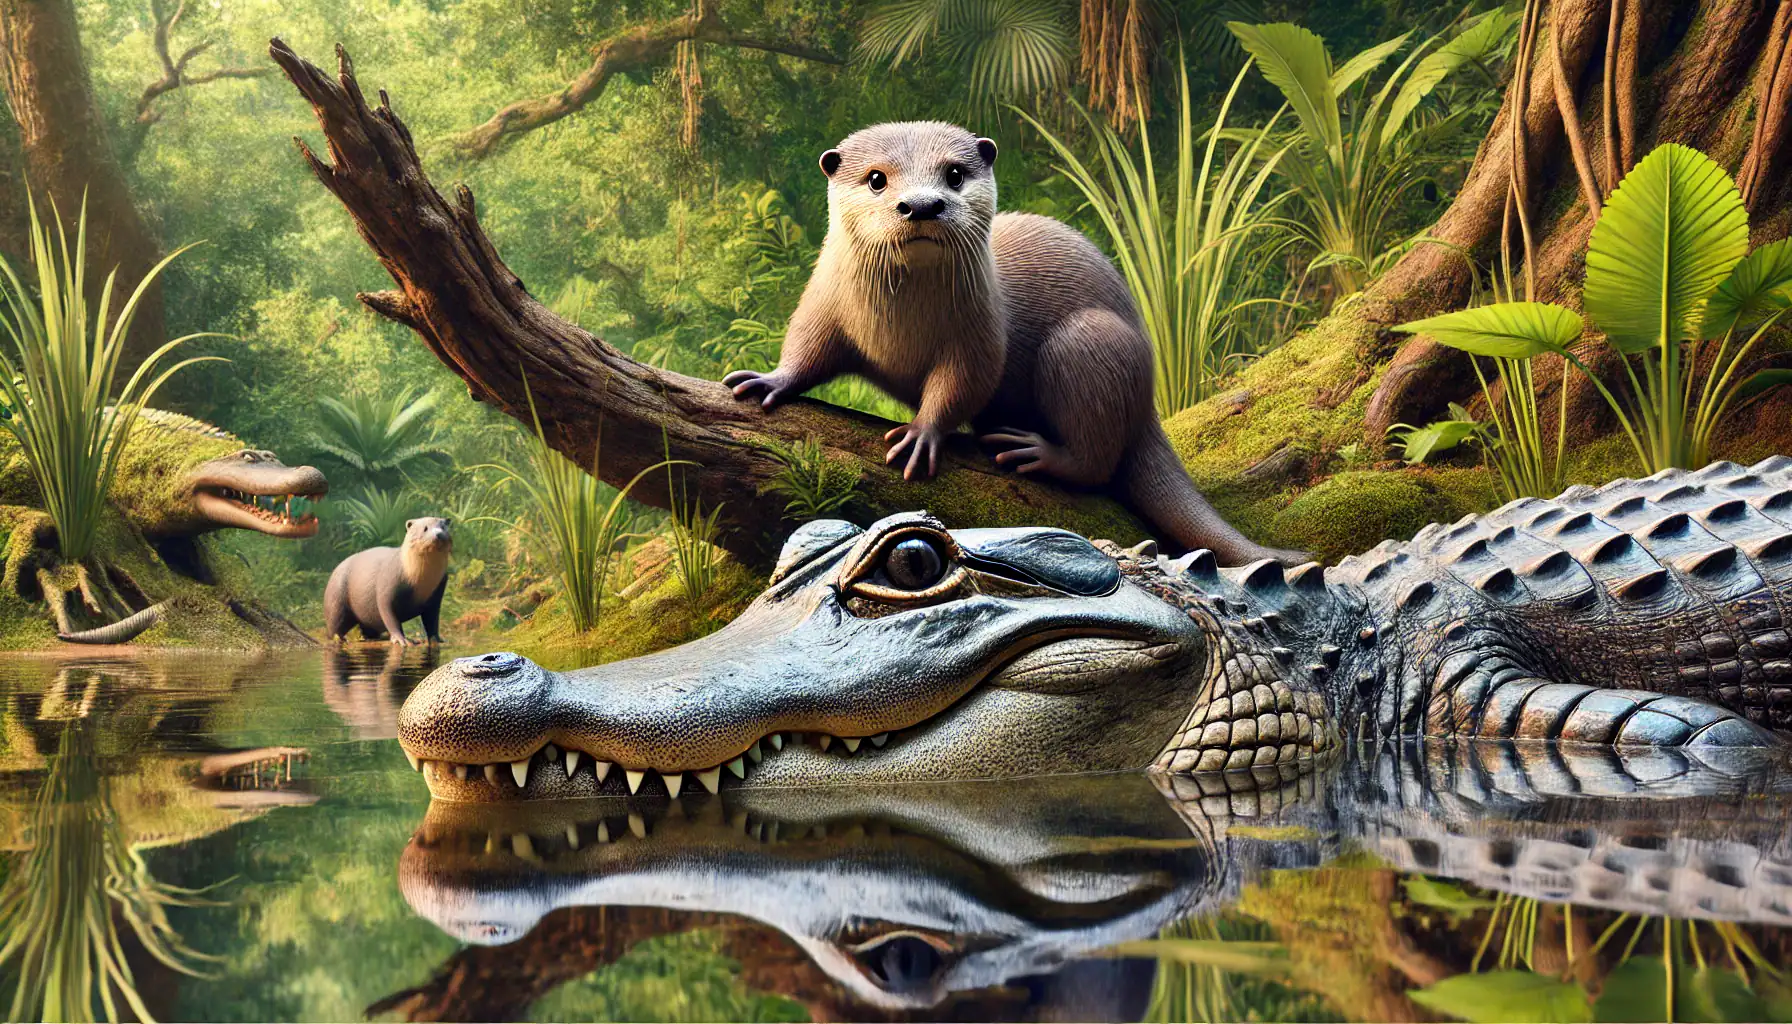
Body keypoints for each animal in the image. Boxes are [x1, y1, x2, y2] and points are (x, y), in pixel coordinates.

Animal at [324, 517, 452, 645]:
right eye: (425, 528)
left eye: (443, 527)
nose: (439, 534)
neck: (420, 580)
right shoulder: (387, 585)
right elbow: (389, 617)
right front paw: (401, 639)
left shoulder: (437, 594)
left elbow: (432, 622)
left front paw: (436, 639)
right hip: (336, 602)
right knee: (334, 628)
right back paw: (340, 639)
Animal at [723, 121, 1299, 565]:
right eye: (876, 179)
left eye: (954, 174)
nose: (921, 205)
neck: (899, 327)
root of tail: (1148, 402)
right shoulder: (824, 302)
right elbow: (806, 348)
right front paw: (768, 380)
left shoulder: (979, 332)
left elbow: (963, 383)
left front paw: (922, 433)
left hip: (1090, 345)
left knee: (1096, 460)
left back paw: (1035, 452)